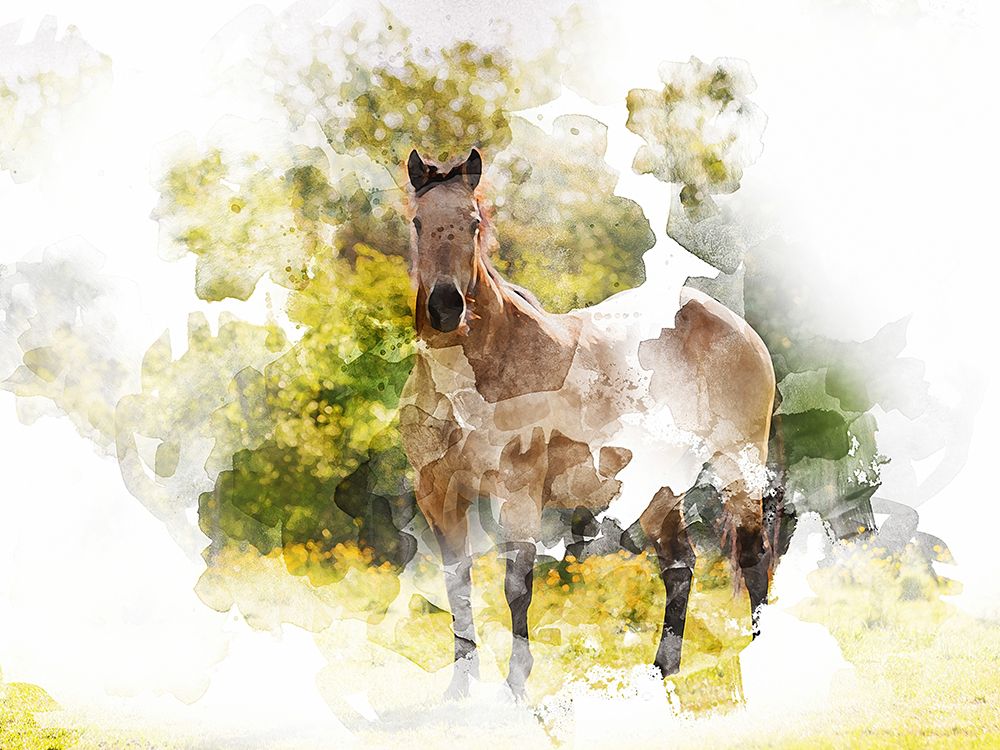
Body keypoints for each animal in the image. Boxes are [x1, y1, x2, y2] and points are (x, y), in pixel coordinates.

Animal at [398, 148, 776, 699]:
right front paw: (459, 690)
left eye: (473, 223)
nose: (446, 307)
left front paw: (516, 686)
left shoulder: (518, 492)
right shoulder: (438, 494)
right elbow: (457, 584)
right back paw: (662, 671)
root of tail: (735, 326)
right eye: (418, 222)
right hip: (658, 487)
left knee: (752, 558)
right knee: (680, 566)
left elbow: (516, 587)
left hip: (739, 468)